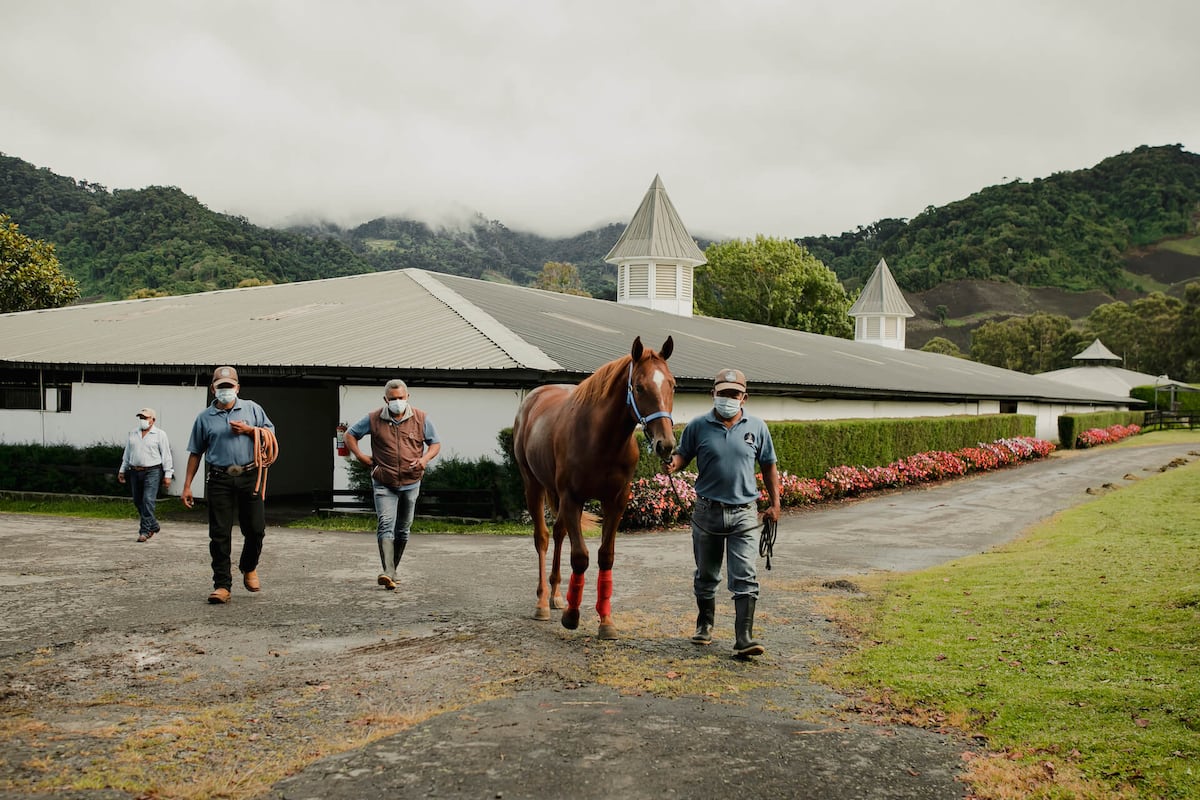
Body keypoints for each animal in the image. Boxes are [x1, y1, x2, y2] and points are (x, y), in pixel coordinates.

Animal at [508, 335, 676, 642]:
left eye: (672, 384)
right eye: (639, 387)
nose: (666, 444)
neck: (601, 439)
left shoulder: (616, 502)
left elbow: (605, 557)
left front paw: (605, 621)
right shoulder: (572, 498)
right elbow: (581, 557)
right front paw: (572, 616)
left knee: (559, 533)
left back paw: (556, 594)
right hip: (533, 485)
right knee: (543, 538)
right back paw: (542, 602)